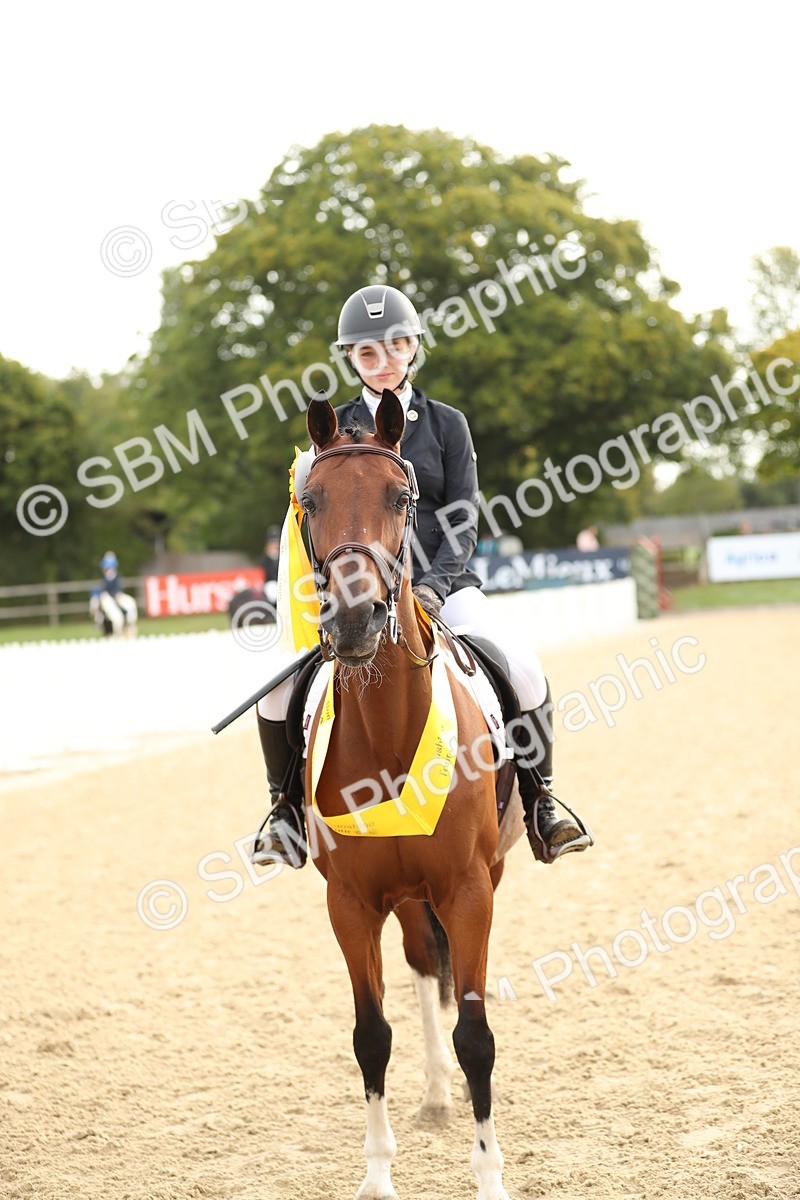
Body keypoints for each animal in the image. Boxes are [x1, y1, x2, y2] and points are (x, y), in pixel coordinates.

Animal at [296, 389, 515, 1200]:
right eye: (310, 501)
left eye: (402, 496)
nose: (354, 618)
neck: (390, 733)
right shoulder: (351, 902)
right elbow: (370, 1036)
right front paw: (378, 1176)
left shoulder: (468, 888)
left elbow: (477, 1035)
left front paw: (490, 1179)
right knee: (424, 964)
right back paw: (433, 1094)